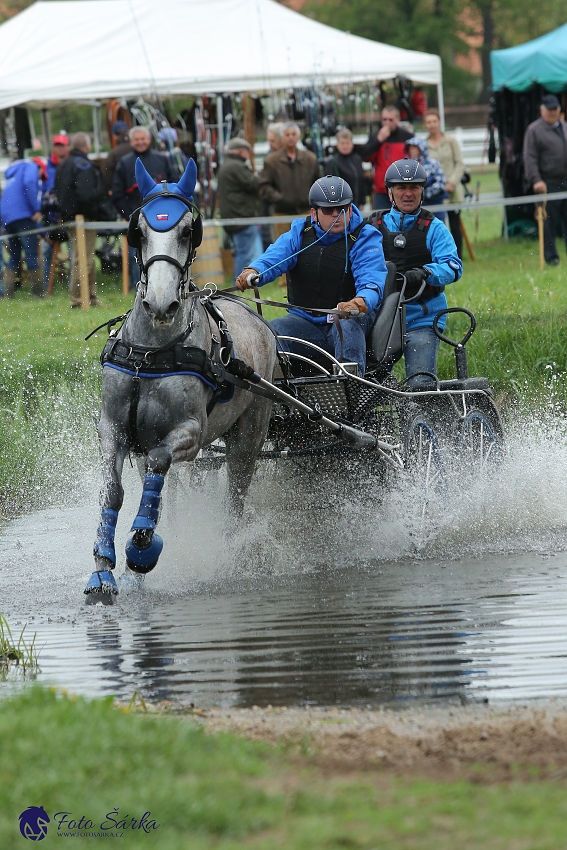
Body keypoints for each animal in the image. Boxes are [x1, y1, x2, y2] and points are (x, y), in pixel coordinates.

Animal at [85, 156, 278, 600]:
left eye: (188, 230)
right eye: (137, 231)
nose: (159, 302)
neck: (150, 354)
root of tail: (260, 320)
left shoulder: (189, 434)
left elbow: (160, 461)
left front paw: (141, 545)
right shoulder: (112, 428)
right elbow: (114, 490)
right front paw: (103, 569)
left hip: (248, 439)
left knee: (234, 500)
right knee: (164, 491)